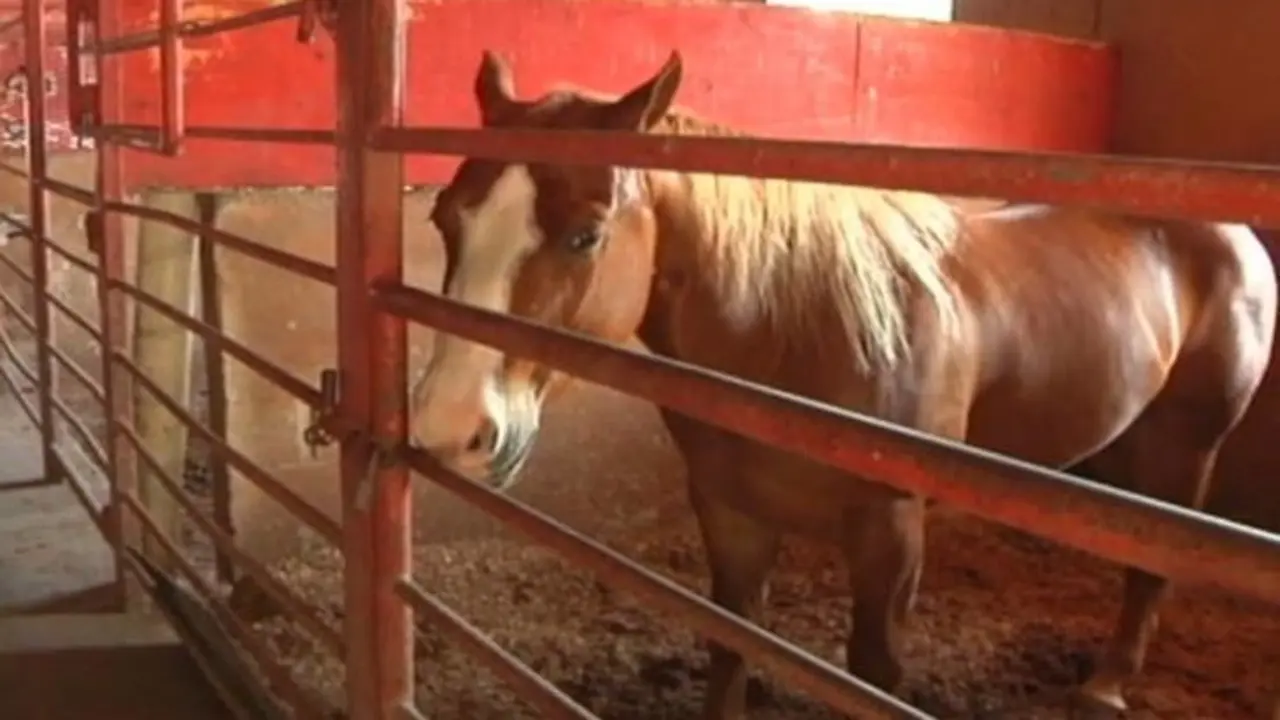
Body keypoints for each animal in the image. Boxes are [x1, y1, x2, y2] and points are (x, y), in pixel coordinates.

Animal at [408, 50, 1278, 718]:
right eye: (445, 218)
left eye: (586, 236)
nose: (450, 427)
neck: (793, 336)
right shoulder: (730, 512)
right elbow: (730, 640)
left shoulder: (888, 533)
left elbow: (874, 672)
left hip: (1186, 444)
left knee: (1150, 567)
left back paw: (1105, 686)